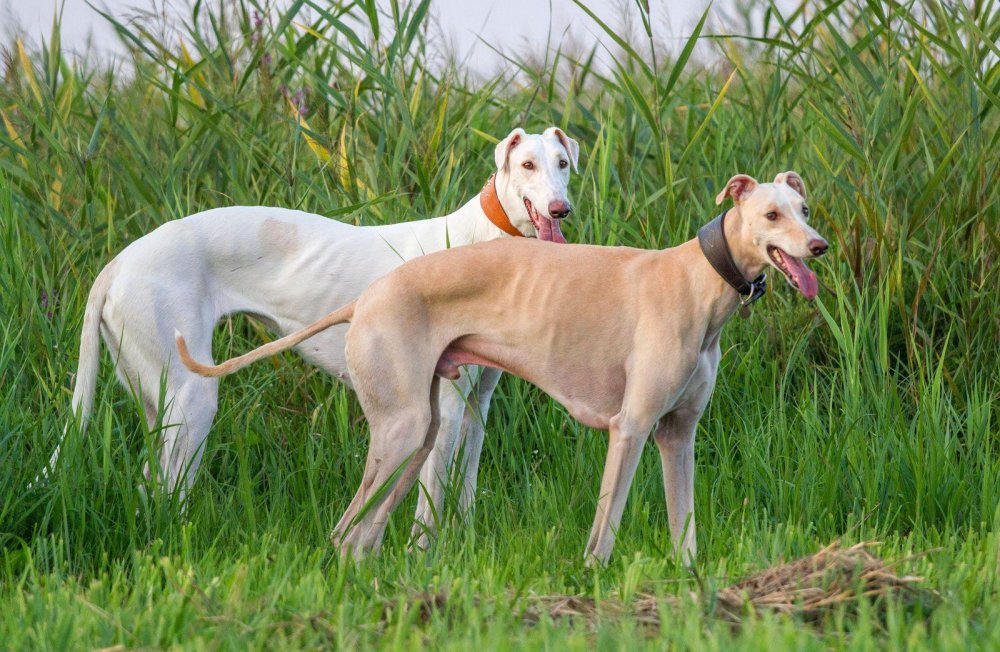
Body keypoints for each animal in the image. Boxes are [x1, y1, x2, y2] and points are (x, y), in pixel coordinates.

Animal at [50, 125, 580, 536]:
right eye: (527, 165)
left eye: (562, 164)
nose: (560, 210)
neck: (480, 241)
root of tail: (118, 263)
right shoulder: (444, 407)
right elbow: (428, 503)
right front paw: (423, 559)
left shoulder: (477, 404)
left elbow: (464, 491)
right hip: (192, 397)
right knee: (166, 488)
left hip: (159, 400)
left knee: (148, 480)